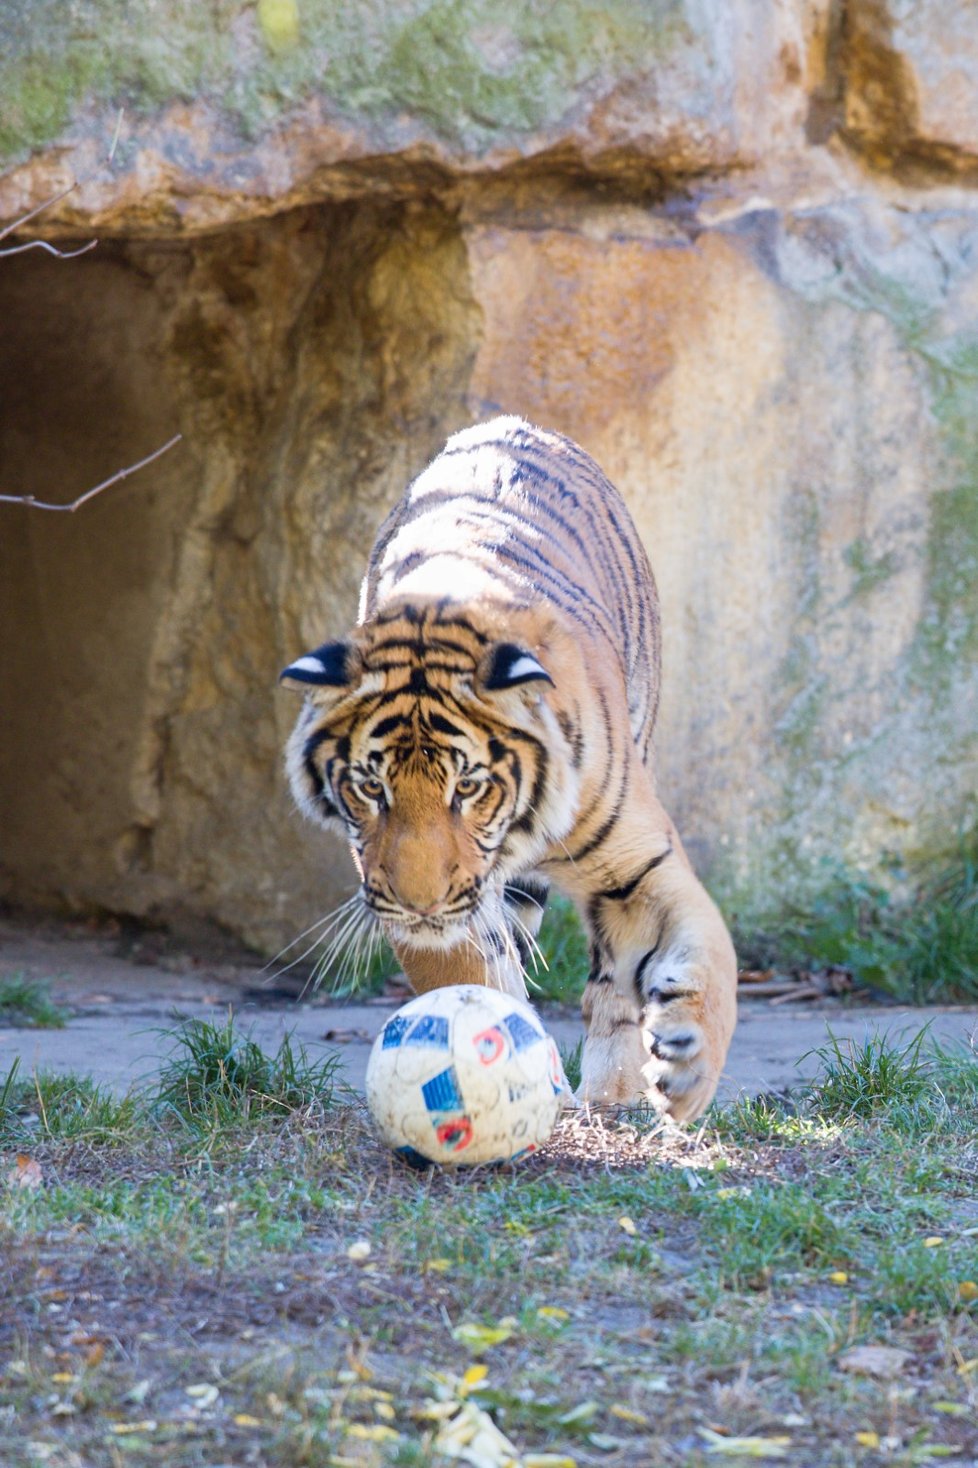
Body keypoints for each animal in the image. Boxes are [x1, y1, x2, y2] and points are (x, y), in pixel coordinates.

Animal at [277, 416, 734, 1121]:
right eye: (371, 787)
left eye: (467, 787)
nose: (420, 904)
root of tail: (512, 423)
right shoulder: (442, 916)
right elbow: (472, 985)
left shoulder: (639, 864)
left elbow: (708, 957)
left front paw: (686, 1072)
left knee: (610, 986)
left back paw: (614, 1096)